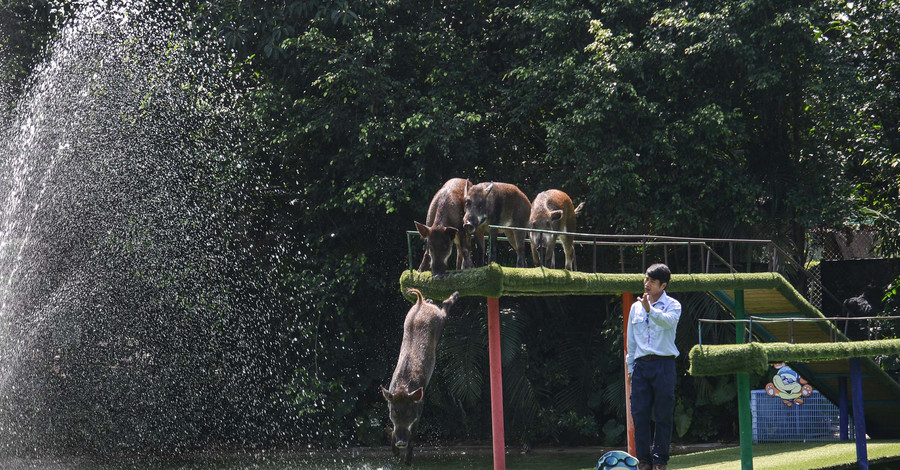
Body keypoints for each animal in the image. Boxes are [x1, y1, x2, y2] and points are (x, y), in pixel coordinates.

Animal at [382, 288, 460, 464]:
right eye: (395, 411)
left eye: (409, 411)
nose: (401, 442)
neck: (403, 388)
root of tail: (420, 303)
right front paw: (396, 454)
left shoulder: (421, 407)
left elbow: (414, 435)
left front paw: (408, 463)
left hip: (440, 320)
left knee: (445, 306)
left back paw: (455, 294)